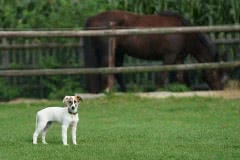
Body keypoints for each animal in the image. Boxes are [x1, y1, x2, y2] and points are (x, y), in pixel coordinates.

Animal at [83, 10, 224, 93]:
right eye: (215, 72)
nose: (219, 89)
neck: (183, 32)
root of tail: (92, 18)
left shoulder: (179, 58)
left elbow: (181, 77)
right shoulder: (169, 56)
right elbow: (163, 75)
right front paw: (159, 91)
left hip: (118, 53)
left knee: (117, 71)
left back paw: (124, 91)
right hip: (108, 54)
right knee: (106, 71)